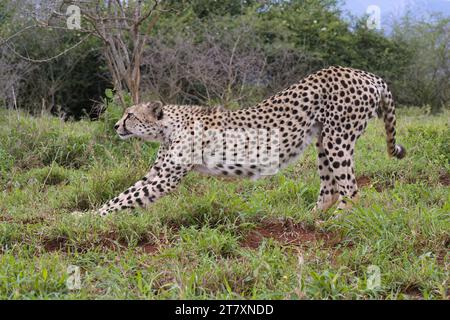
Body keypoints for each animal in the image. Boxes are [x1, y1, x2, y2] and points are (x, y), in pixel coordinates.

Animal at [97, 65, 404, 216]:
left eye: (129, 115)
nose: (116, 125)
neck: (167, 126)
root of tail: (368, 74)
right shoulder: (157, 173)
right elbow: (123, 195)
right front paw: (90, 215)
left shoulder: (166, 178)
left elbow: (128, 199)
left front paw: (90, 220)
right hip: (323, 139)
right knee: (330, 188)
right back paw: (311, 219)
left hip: (337, 139)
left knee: (351, 189)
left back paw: (336, 222)